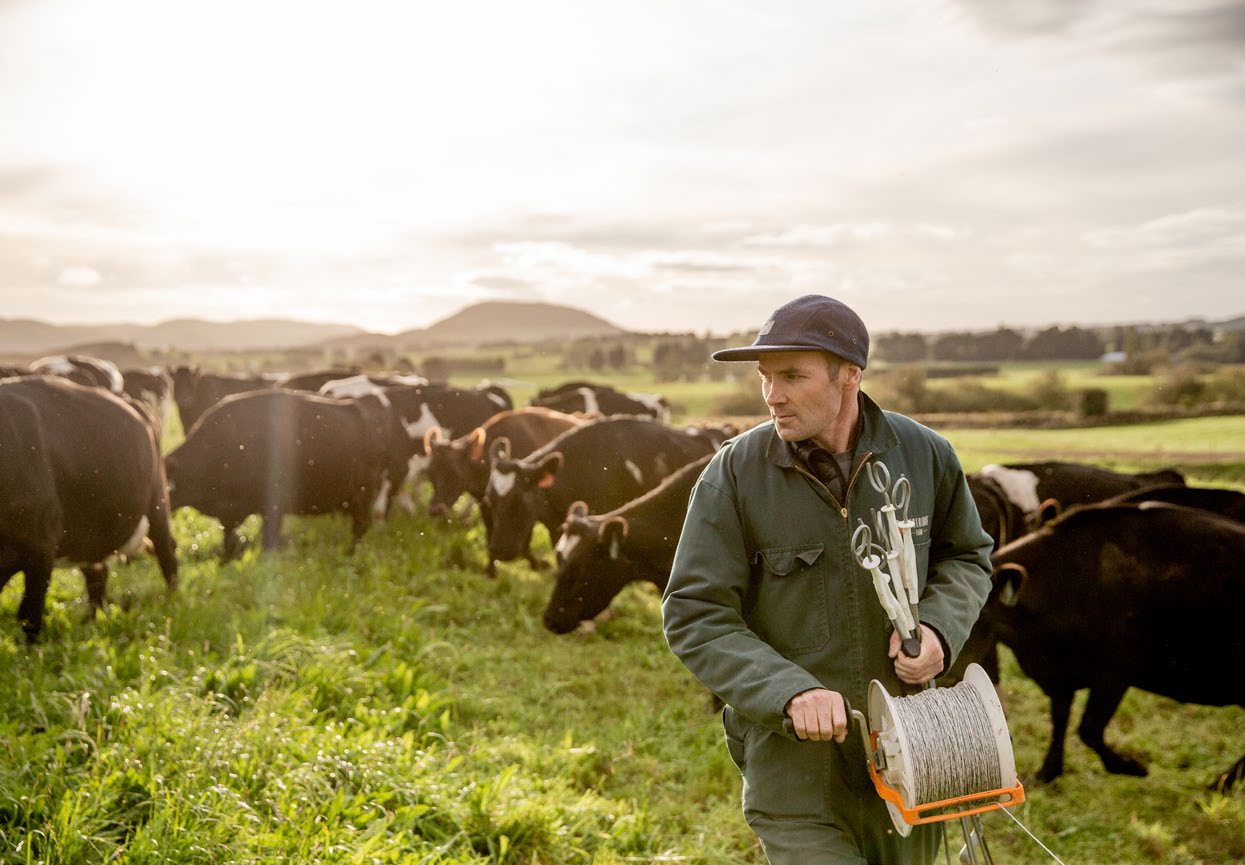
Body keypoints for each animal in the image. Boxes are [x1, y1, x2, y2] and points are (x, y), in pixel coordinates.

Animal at [0, 375, 180, 637]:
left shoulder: (41, 548)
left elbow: (29, 616)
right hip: (88, 532)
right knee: (98, 574)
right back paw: (91, 623)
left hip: (158, 505)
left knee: (168, 556)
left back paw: (173, 605)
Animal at [961, 500, 1245, 791]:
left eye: (977, 613)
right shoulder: (1062, 674)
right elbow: (1060, 719)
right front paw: (1047, 773)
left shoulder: (1114, 674)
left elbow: (1088, 729)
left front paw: (1131, 766)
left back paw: (1220, 783)